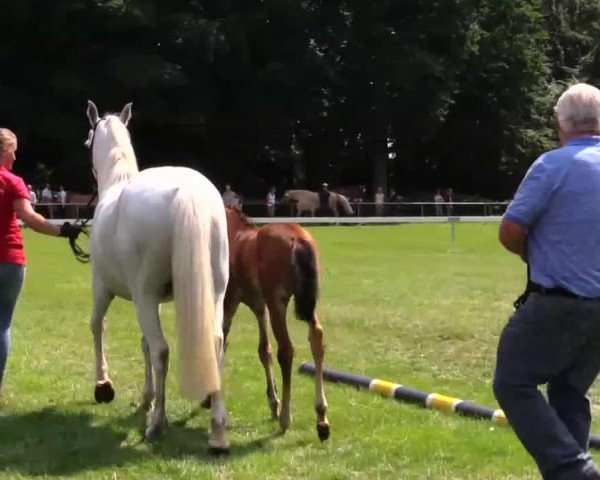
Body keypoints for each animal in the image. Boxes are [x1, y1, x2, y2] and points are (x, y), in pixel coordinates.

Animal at [85, 99, 231, 452]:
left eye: (87, 139)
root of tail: (187, 191)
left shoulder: (103, 288)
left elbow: (98, 326)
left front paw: (103, 385)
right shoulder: (159, 300)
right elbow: (143, 345)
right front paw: (146, 398)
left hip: (144, 296)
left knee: (162, 350)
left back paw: (156, 425)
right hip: (212, 293)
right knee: (215, 344)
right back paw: (217, 433)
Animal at [224, 204, 330, 440]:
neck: (234, 236)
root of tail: (298, 240)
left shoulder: (230, 303)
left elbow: (222, 342)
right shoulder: (259, 306)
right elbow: (264, 350)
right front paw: (273, 402)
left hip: (278, 302)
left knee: (286, 350)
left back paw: (286, 418)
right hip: (307, 304)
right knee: (317, 339)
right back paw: (321, 417)